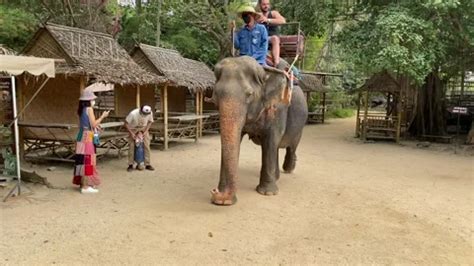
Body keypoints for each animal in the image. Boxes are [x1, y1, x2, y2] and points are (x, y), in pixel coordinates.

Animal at [210, 56, 308, 206]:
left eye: (249, 94)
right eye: (215, 95)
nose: (215, 191)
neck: (264, 73)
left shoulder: (278, 108)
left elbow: (271, 139)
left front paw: (267, 193)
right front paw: (223, 202)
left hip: (300, 124)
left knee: (290, 146)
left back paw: (288, 169)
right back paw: (277, 176)